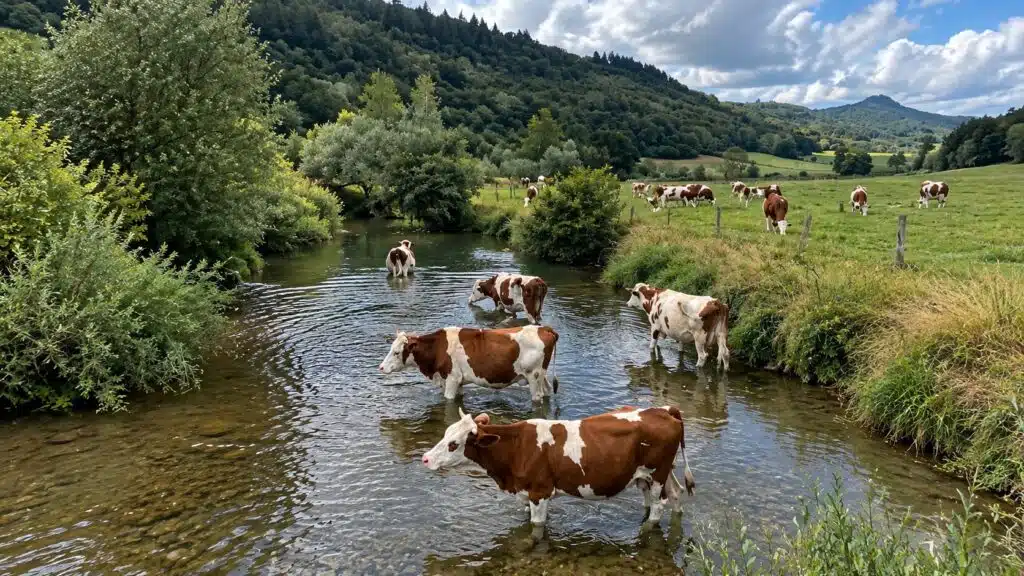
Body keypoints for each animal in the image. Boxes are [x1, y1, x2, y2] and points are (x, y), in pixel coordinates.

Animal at [379, 325, 558, 402]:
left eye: (396, 352)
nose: (380, 367)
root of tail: (544, 328)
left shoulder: (452, 379)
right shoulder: (458, 382)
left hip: (533, 376)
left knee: (538, 398)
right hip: (542, 376)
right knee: (548, 391)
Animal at [421, 405, 696, 527]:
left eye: (454, 444)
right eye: (445, 434)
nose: (425, 458)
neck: (517, 447)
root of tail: (663, 409)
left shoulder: (540, 492)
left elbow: (537, 529)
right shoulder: (527, 494)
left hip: (657, 473)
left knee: (659, 505)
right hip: (654, 475)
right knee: (674, 493)